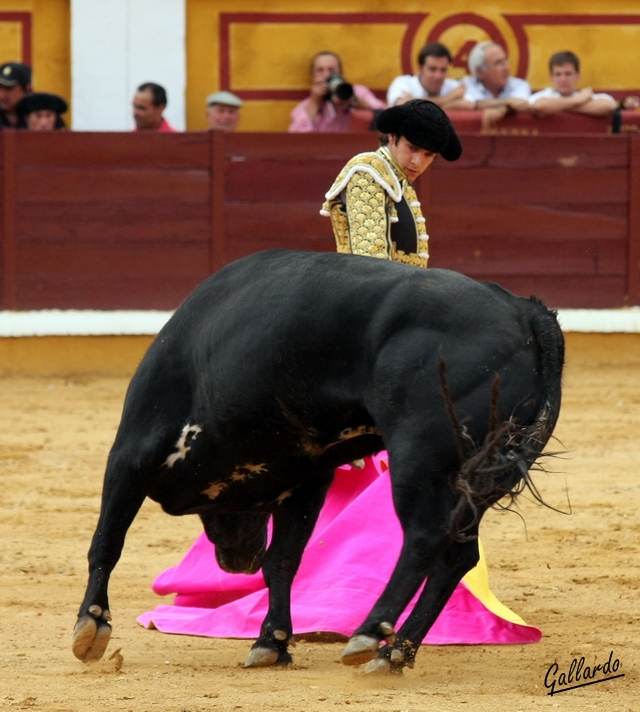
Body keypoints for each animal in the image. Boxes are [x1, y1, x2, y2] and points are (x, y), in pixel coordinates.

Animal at [72, 250, 564, 672]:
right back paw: (395, 654)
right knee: (458, 555)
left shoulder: (129, 457)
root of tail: (526, 312)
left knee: (425, 538)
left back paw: (370, 634)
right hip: (477, 476)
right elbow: (283, 561)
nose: (237, 562)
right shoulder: (306, 480)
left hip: (420, 456)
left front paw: (91, 626)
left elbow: (106, 541)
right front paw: (271, 642)